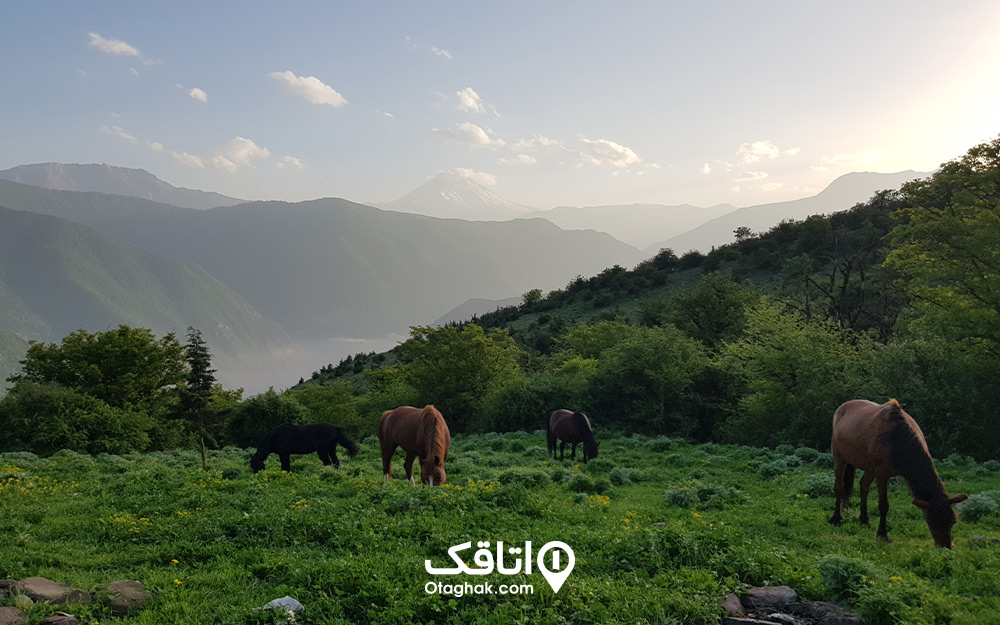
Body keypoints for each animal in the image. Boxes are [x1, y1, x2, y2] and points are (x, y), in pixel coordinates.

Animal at [832, 400, 964, 544]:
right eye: (932, 522)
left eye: (953, 521)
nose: (946, 545)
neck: (898, 439)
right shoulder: (882, 475)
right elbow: (883, 505)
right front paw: (882, 534)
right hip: (840, 459)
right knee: (839, 487)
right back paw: (836, 518)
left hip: (870, 468)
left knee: (864, 486)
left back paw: (864, 519)